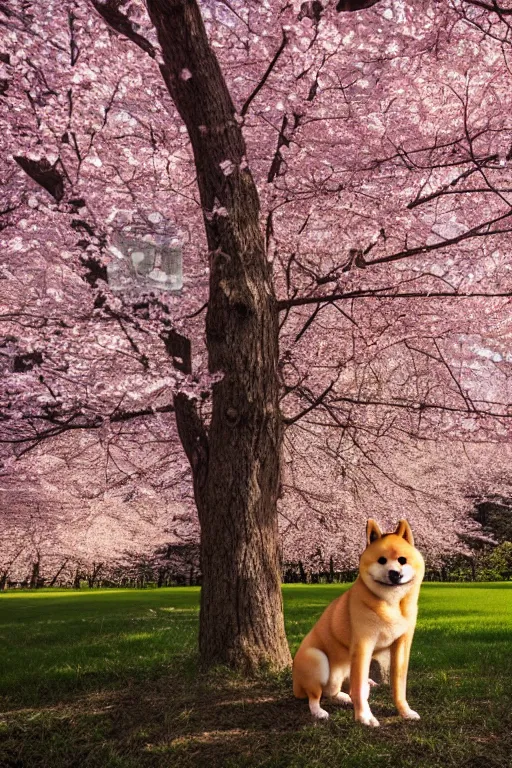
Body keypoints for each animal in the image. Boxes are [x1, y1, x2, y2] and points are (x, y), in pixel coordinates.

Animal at [292, 516, 424, 728]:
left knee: (333, 691)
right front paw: (364, 717)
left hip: (342, 669)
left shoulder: (401, 646)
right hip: (318, 660)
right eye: (382, 560)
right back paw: (319, 711)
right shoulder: (363, 645)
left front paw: (405, 711)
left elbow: (399, 685)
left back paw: (344, 697)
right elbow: (359, 689)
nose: (395, 573)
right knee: (315, 696)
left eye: (402, 560)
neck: (391, 603)